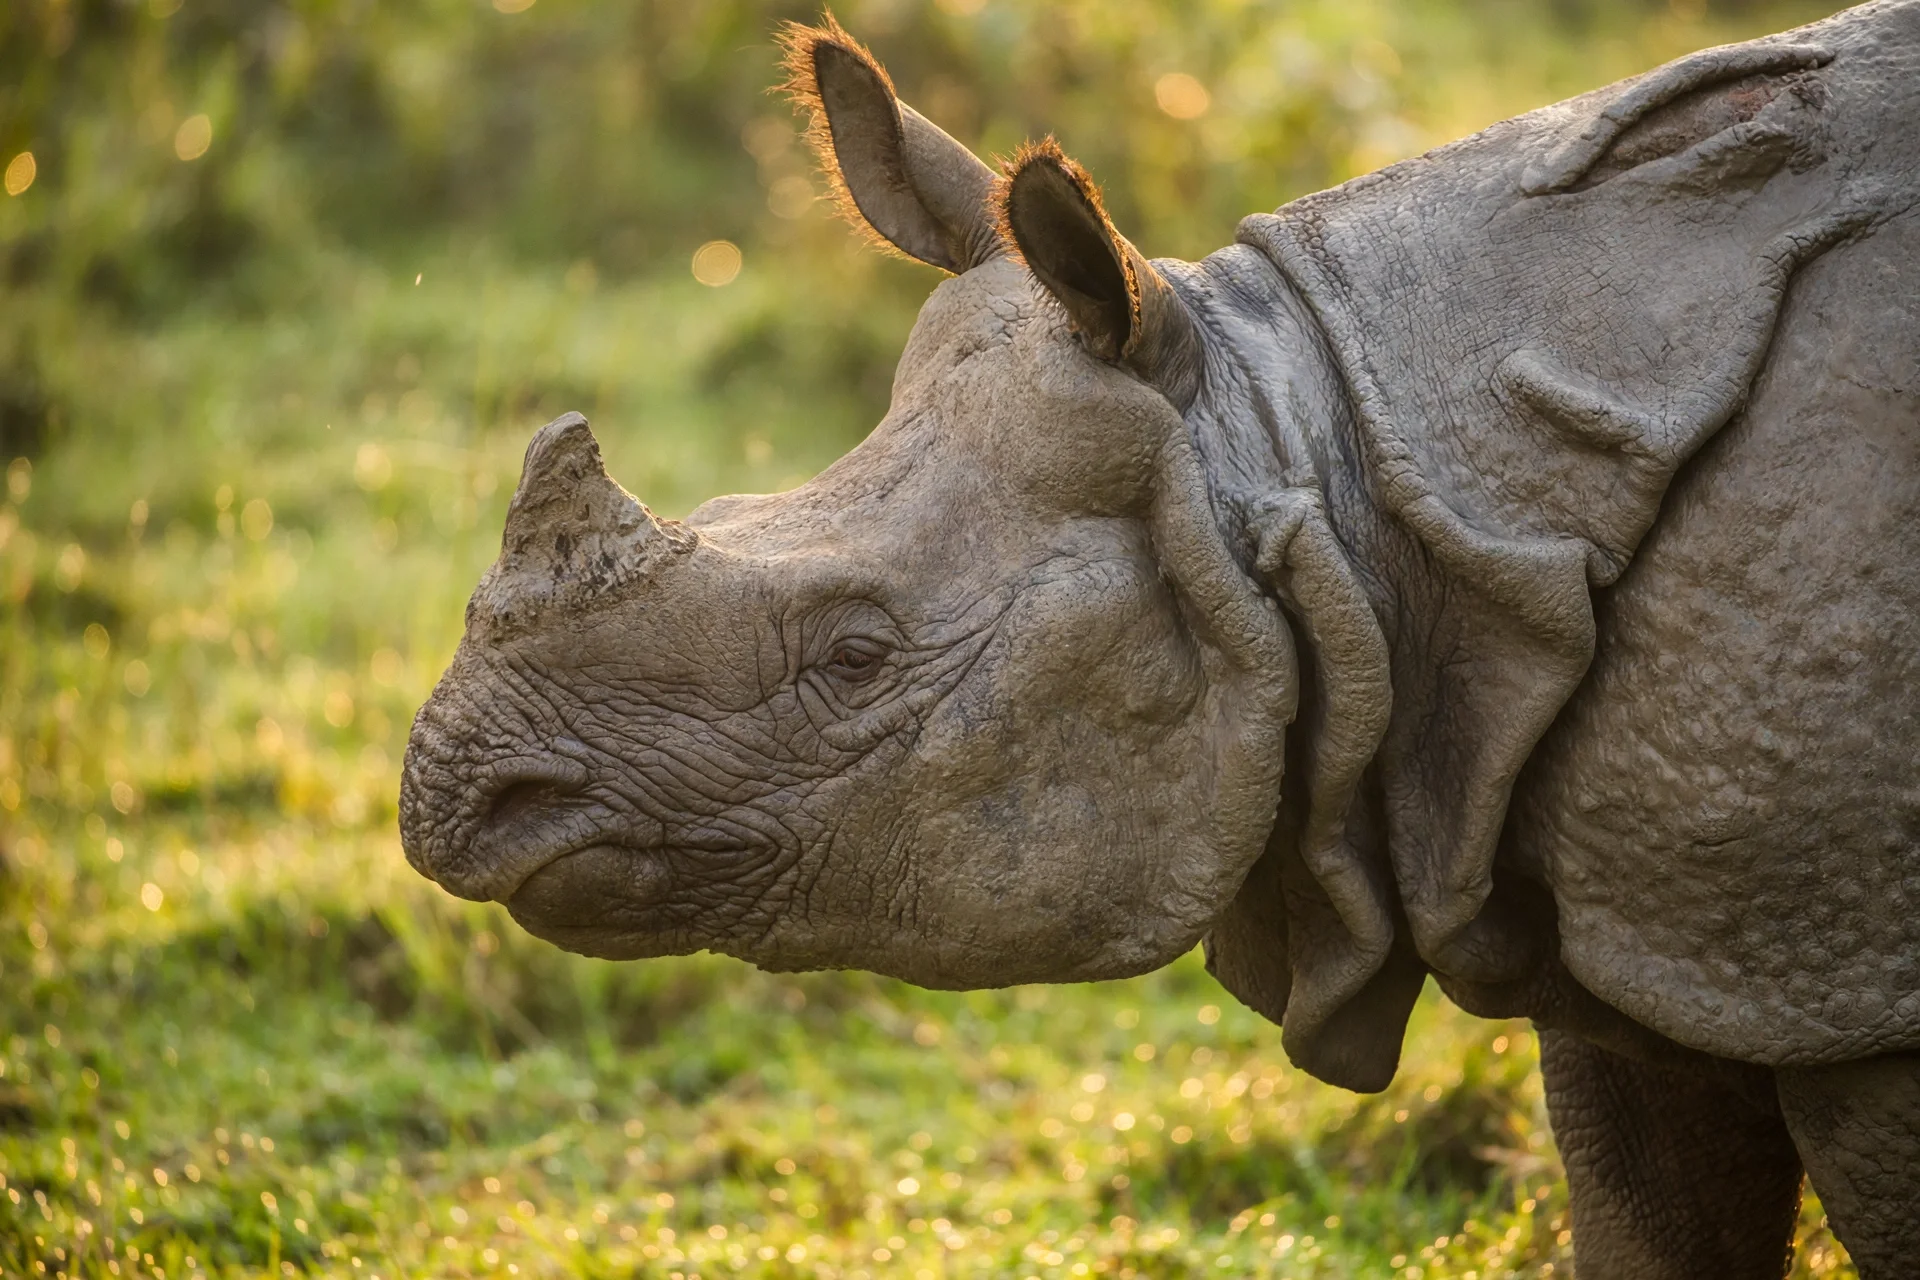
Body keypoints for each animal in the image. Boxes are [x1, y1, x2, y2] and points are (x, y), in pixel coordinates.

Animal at [400, 2, 1920, 1274]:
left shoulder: (1841, 980)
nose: (456, 795)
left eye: (853, 658)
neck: (1325, 460)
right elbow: (1653, 1219)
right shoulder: (1663, 930)